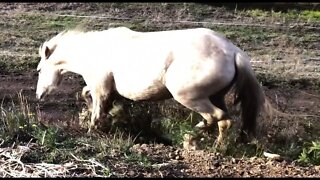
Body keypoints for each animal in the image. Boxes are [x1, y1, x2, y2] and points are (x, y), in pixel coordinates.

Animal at [35, 27, 268, 148]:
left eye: (38, 70)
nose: (38, 95)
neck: (94, 51)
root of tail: (233, 51)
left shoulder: (101, 87)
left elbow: (97, 110)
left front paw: (92, 130)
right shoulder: (103, 88)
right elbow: (87, 95)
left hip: (189, 96)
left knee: (217, 117)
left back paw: (191, 139)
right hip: (216, 96)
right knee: (223, 120)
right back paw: (217, 145)